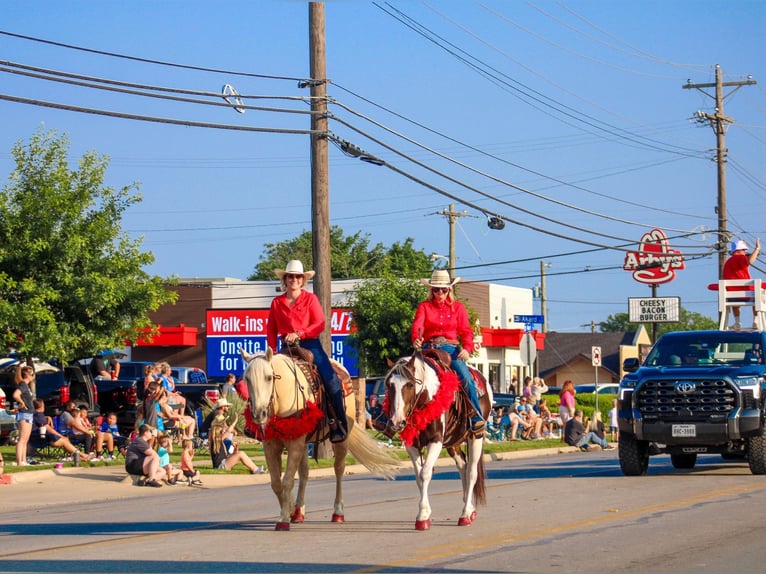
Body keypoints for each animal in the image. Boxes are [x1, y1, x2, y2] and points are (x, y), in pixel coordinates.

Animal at [243, 346, 402, 532]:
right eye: (247, 378)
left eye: (268, 377)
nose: (258, 414)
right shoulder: (271, 445)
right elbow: (276, 483)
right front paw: (289, 510)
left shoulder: (295, 443)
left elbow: (287, 481)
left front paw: (283, 519)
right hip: (305, 443)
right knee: (304, 473)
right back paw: (298, 512)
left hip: (341, 439)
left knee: (339, 469)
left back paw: (338, 512)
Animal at [382, 354, 492, 532]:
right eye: (389, 385)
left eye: (410, 384)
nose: (396, 422)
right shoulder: (411, 445)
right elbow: (418, 477)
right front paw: (424, 513)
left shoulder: (436, 441)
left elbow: (425, 473)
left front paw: (422, 517)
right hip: (453, 442)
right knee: (463, 467)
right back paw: (470, 509)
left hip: (476, 437)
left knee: (471, 472)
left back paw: (465, 515)